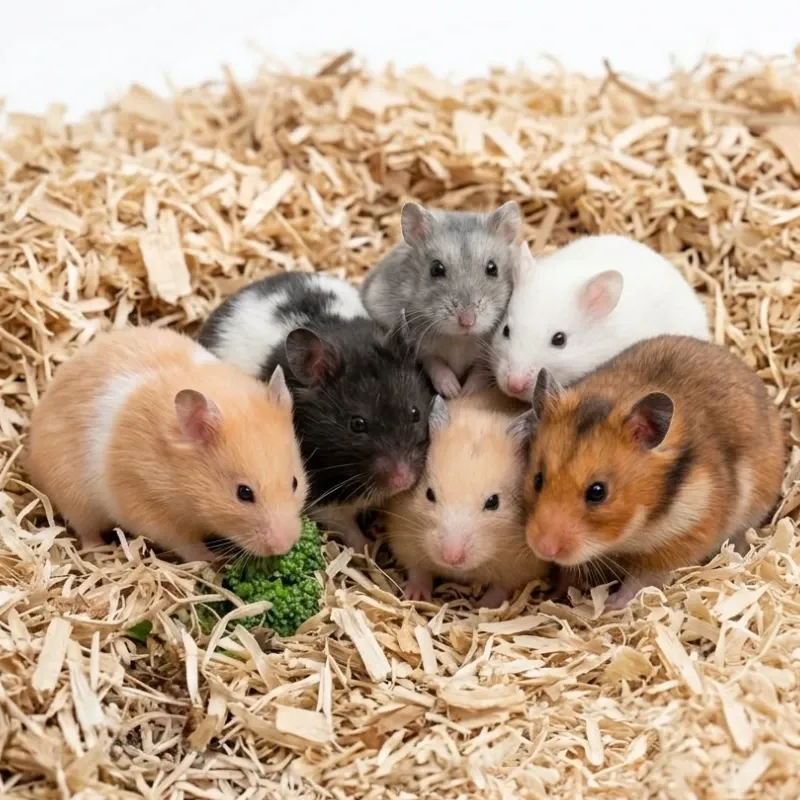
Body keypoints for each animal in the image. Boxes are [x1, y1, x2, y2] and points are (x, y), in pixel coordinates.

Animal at [26, 327, 309, 562]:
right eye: (244, 493)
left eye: (295, 482)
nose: (284, 546)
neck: (181, 480)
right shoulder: (149, 510)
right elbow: (186, 545)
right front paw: (214, 561)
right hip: (74, 498)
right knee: (86, 532)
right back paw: (99, 554)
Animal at [198, 272, 435, 551]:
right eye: (357, 424)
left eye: (415, 413)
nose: (404, 480)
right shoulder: (320, 498)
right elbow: (346, 526)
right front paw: (363, 547)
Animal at [361, 200, 522, 399]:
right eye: (436, 269)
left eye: (492, 268)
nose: (467, 322)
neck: (459, 338)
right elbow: (433, 362)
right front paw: (453, 391)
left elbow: (480, 368)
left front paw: (467, 392)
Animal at [386, 392, 548, 607]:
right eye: (429, 494)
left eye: (493, 502)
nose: (451, 557)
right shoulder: (404, 535)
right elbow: (418, 570)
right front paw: (415, 597)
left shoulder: (522, 566)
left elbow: (500, 589)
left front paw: (482, 607)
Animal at [520, 335, 785, 609]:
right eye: (538, 480)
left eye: (597, 492)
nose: (544, 549)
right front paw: (552, 595)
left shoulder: (683, 535)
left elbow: (643, 578)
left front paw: (612, 605)